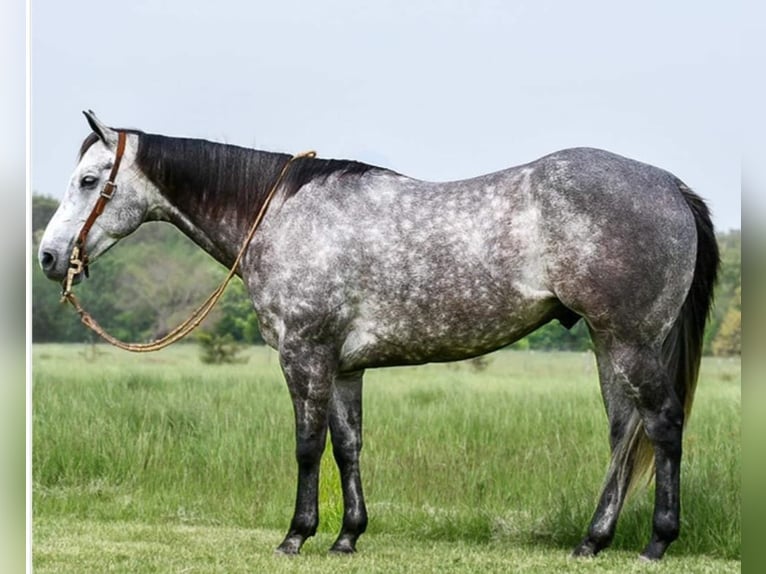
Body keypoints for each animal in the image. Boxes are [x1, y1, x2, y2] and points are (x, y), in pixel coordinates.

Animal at [37, 112, 720, 564]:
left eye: (91, 180)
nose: (49, 257)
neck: (283, 215)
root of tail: (669, 185)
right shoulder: (344, 367)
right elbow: (348, 447)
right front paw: (347, 537)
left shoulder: (304, 356)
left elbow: (307, 447)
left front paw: (296, 535)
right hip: (611, 345)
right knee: (624, 432)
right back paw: (592, 541)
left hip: (631, 342)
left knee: (661, 426)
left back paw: (657, 542)